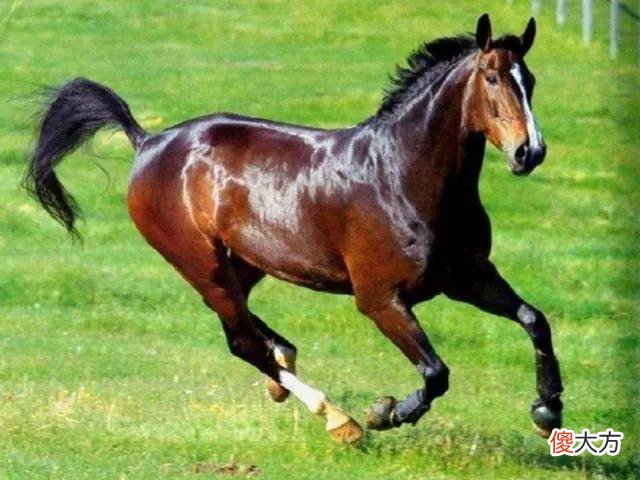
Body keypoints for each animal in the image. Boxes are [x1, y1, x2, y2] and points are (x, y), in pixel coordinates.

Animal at [24, 14, 563, 444]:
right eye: (492, 78)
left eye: (532, 80)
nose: (529, 152)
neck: (400, 176)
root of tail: (148, 141)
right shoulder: (379, 299)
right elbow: (436, 373)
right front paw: (385, 413)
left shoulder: (465, 277)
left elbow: (534, 319)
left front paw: (548, 410)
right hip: (200, 262)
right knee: (241, 339)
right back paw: (339, 420)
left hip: (240, 262)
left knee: (242, 327)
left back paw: (284, 363)